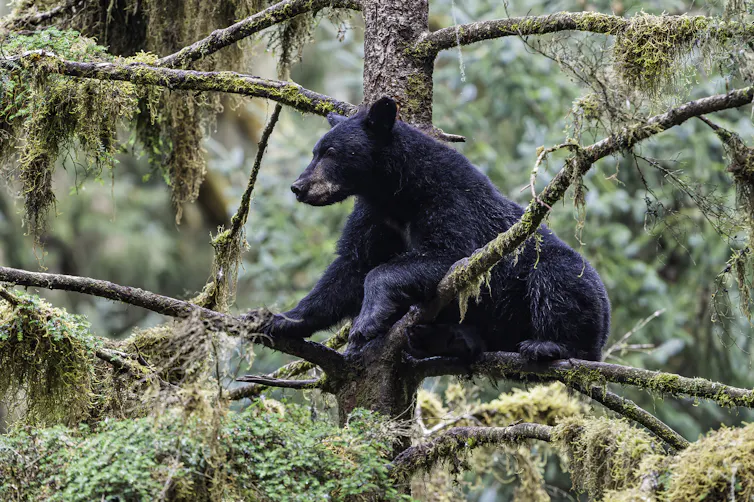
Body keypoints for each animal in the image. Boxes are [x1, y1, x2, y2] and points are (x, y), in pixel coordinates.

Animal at [261, 97, 611, 362]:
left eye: (331, 153)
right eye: (315, 152)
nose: (299, 187)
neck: (398, 192)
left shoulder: (450, 201)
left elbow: (449, 254)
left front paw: (366, 321)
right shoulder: (375, 215)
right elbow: (350, 267)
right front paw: (280, 319)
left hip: (571, 289)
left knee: (556, 280)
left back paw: (548, 344)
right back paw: (445, 339)